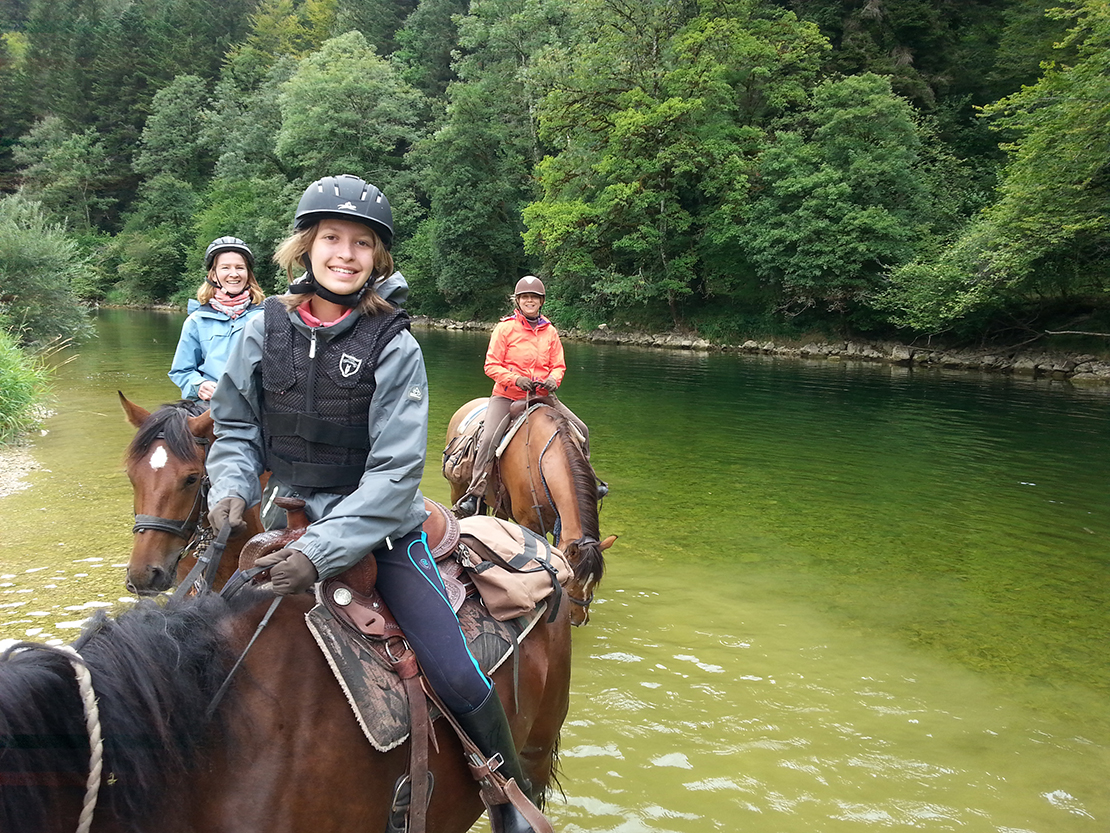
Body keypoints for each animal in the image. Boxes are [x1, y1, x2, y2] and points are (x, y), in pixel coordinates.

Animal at [441, 397, 617, 626]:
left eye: (595, 581)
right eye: (574, 578)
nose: (579, 619)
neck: (542, 460)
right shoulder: (529, 524)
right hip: (458, 490)